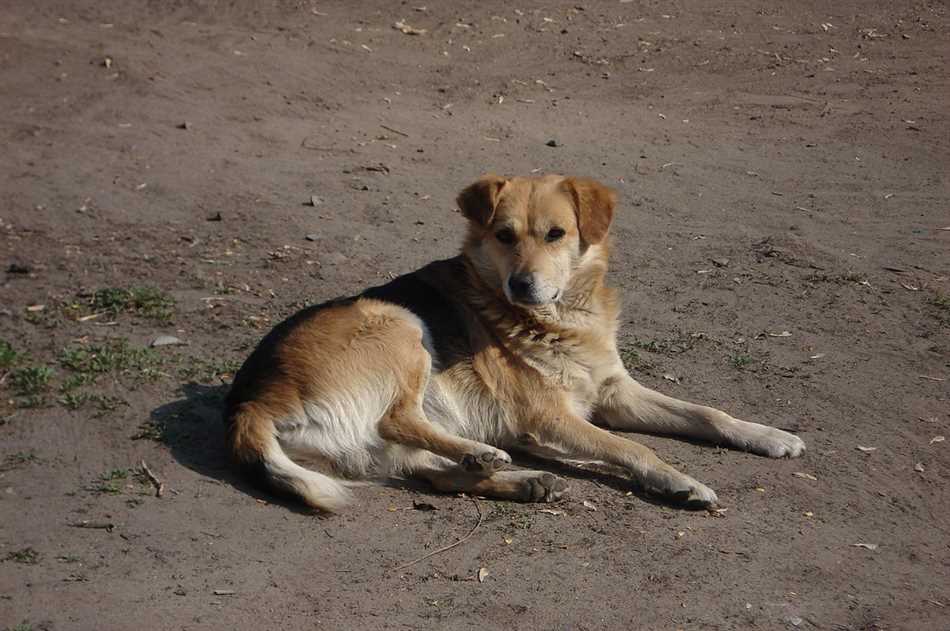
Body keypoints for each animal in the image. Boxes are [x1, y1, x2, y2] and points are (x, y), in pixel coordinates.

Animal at [223, 175, 804, 512]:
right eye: (503, 236)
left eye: (556, 235)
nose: (521, 285)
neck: (562, 317)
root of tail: (249, 402)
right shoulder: (550, 417)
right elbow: (631, 447)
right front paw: (679, 480)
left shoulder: (614, 394)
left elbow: (708, 413)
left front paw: (768, 435)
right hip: (401, 324)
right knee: (399, 418)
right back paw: (483, 453)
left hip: (379, 440)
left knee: (434, 476)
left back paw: (520, 479)